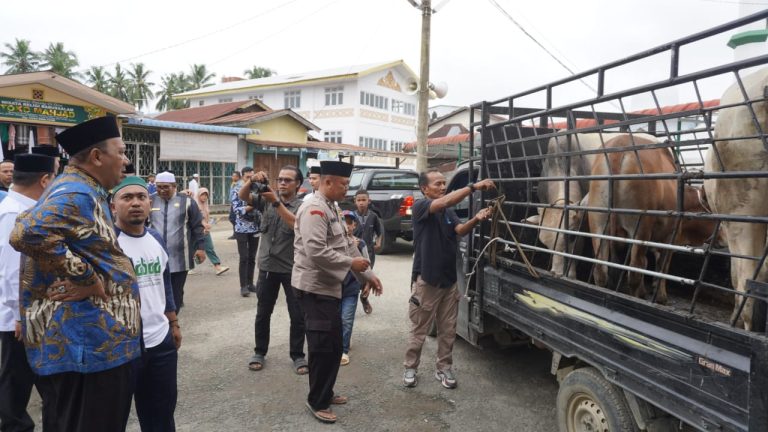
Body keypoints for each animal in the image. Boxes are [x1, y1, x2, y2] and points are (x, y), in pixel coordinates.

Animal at [588, 135, 720, 304]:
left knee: (601, 270)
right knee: (635, 271)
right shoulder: (670, 237)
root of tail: (620, 144)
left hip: (598, 223)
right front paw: (661, 297)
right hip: (641, 226)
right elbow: (662, 266)